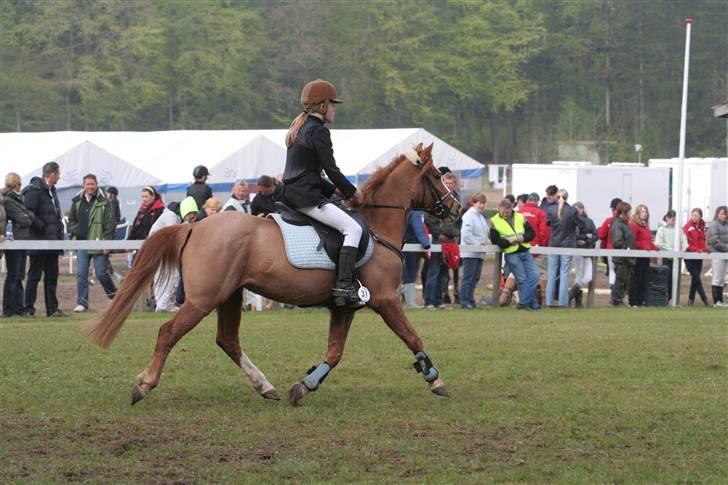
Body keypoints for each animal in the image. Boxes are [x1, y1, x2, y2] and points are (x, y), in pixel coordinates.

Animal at [86, 143, 460, 404]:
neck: (377, 225)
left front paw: (305, 385)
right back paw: (144, 385)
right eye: (436, 176)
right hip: (203, 299)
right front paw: (435, 378)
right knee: (168, 333)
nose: (456, 208)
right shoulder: (384, 299)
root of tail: (194, 226)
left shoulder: (344, 307)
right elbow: (412, 336)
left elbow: (334, 352)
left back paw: (265, 386)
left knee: (228, 340)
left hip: (230, 295)